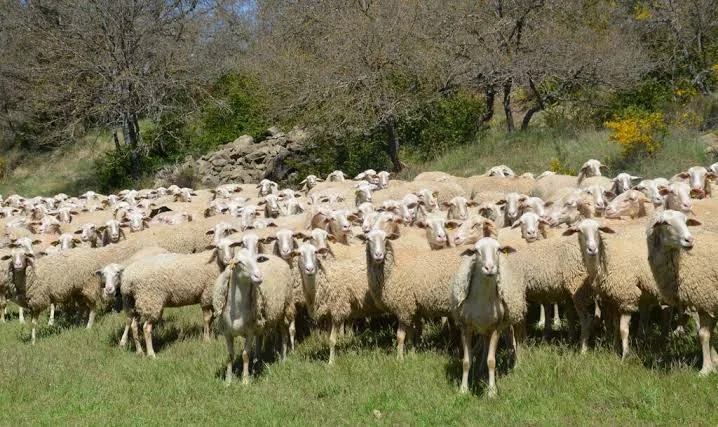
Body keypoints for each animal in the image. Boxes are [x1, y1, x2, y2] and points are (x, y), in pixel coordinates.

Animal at [213, 249, 295, 384]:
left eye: (257, 260)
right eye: (239, 262)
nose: (259, 276)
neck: (237, 310)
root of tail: (276, 257)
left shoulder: (249, 332)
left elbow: (245, 355)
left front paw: (245, 381)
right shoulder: (228, 332)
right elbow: (230, 356)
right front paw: (228, 381)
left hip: (284, 308)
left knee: (284, 334)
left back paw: (283, 359)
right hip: (261, 320)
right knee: (260, 338)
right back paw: (257, 361)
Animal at [451, 237, 524, 397]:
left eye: (499, 249)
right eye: (476, 251)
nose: (489, 268)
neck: (482, 299)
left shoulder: (496, 327)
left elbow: (492, 361)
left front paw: (491, 391)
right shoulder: (465, 327)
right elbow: (466, 361)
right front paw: (463, 389)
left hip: (510, 318)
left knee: (514, 341)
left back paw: (516, 365)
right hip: (485, 326)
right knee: (486, 344)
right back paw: (480, 370)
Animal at [645, 210, 718, 375]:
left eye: (686, 221)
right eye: (665, 223)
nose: (689, 240)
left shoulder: (705, 298)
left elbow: (703, 334)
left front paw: (705, 369)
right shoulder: (707, 302)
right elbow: (709, 333)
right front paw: (715, 362)